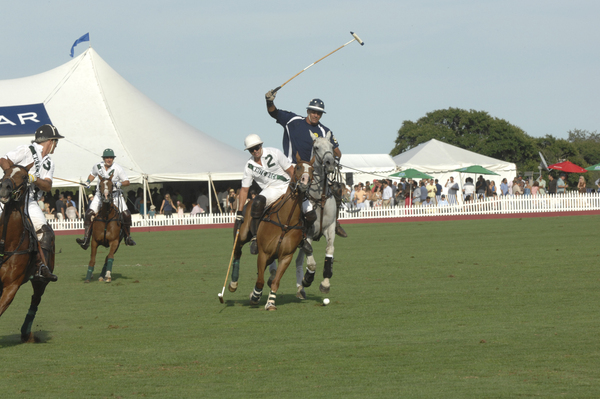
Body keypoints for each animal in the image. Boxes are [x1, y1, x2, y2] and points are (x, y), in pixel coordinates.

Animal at [0, 163, 54, 344]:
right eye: (5, 172)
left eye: (24, 176)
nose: (4, 188)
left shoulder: (11, 285)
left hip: (41, 281)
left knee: (35, 300)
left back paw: (26, 334)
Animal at [227, 155, 314, 310]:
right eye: (298, 167)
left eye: (313, 170)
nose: (304, 182)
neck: (286, 221)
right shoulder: (263, 253)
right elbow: (260, 281)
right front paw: (255, 296)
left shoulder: (286, 256)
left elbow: (275, 281)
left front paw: (270, 303)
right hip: (242, 235)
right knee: (237, 251)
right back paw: (233, 284)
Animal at [294, 133, 338, 298]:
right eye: (317, 147)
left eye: (332, 146)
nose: (330, 163)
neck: (319, 198)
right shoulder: (307, 234)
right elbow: (311, 262)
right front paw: (308, 278)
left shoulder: (330, 228)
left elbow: (329, 250)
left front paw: (325, 284)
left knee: (298, 261)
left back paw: (300, 289)